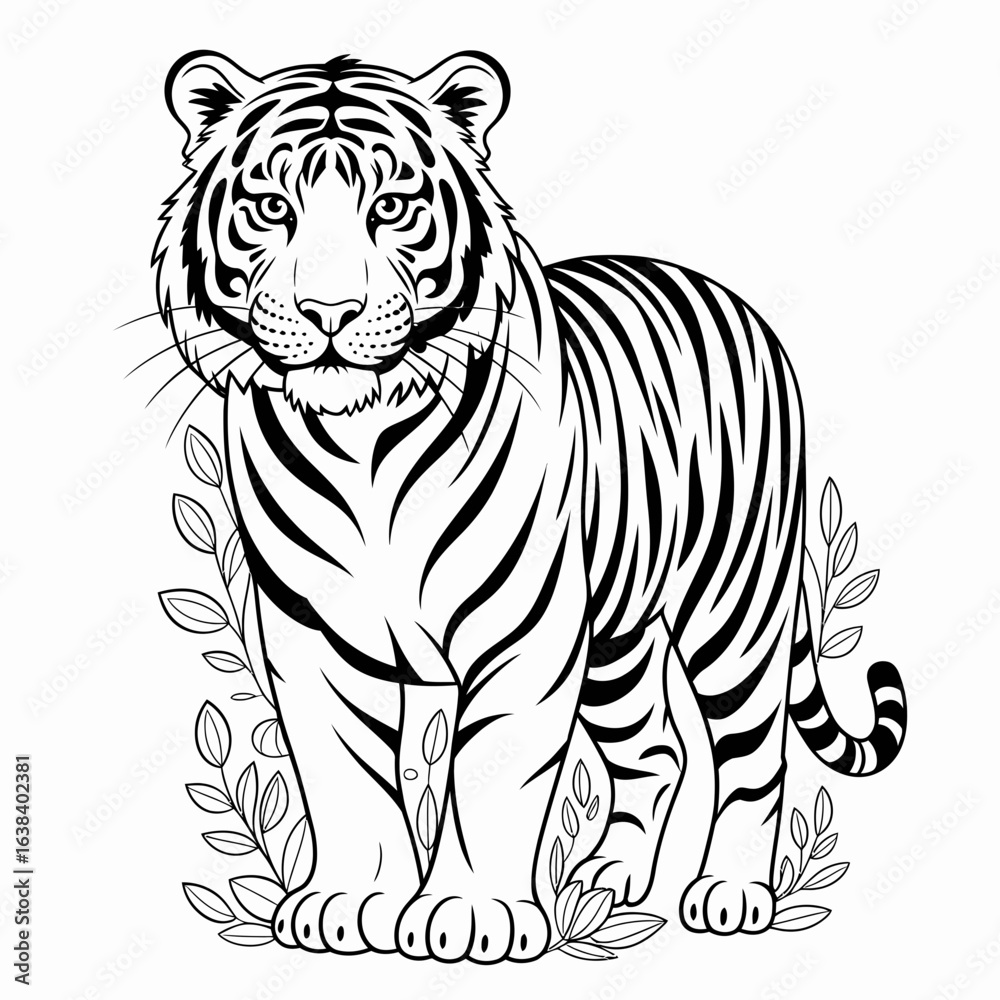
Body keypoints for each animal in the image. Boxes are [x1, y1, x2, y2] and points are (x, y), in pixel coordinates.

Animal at [154, 49, 907, 963]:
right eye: (272, 208)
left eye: (391, 208)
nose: (329, 312)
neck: (361, 437)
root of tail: (726, 296)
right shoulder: (318, 634)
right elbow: (344, 771)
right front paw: (345, 903)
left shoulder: (522, 629)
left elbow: (498, 770)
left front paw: (468, 915)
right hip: (617, 633)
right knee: (656, 748)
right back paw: (606, 880)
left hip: (734, 605)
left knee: (755, 750)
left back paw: (726, 894)